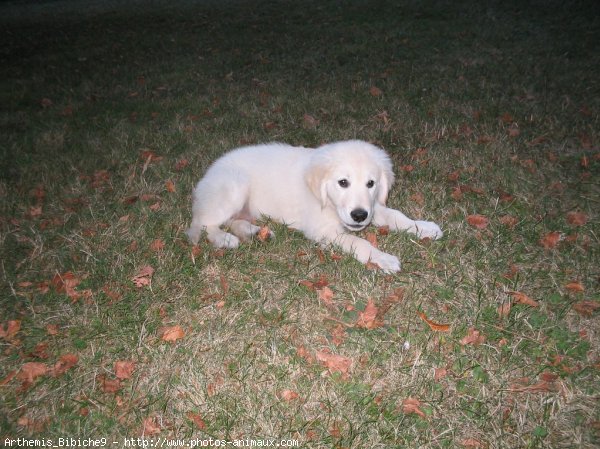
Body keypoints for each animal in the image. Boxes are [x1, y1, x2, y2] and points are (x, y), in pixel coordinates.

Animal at [185, 140, 442, 272]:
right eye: (343, 182)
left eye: (371, 184)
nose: (359, 216)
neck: (327, 202)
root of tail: (208, 174)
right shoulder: (323, 230)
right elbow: (358, 242)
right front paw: (384, 258)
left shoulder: (373, 206)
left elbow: (395, 215)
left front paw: (423, 227)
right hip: (234, 185)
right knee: (204, 223)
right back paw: (223, 239)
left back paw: (253, 232)